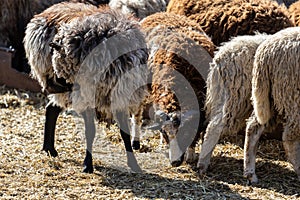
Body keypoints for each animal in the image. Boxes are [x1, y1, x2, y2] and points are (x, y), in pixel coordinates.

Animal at [24, 2, 149, 173]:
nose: (48, 88)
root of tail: (44, 13)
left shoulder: (119, 96)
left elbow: (124, 131)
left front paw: (134, 164)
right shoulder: (87, 97)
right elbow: (90, 131)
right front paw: (87, 164)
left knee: (52, 108)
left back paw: (49, 149)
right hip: (74, 92)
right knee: (52, 108)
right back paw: (49, 149)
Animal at [244, 26, 300, 184]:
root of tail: (266, 51)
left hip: (269, 97)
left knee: (253, 127)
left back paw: (250, 173)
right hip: (291, 95)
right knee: (289, 138)